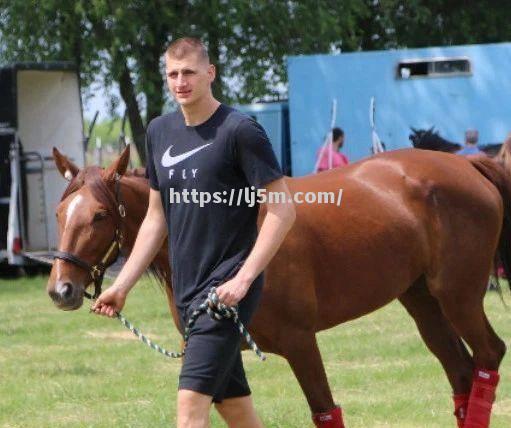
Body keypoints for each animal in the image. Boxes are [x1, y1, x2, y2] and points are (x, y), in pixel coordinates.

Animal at [47, 145, 508, 426]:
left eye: (100, 215)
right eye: (59, 212)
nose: (60, 289)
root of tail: (466, 164)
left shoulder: (301, 343)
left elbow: (325, 411)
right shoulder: (220, 352)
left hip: (458, 296)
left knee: (489, 355)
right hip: (422, 301)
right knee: (462, 374)